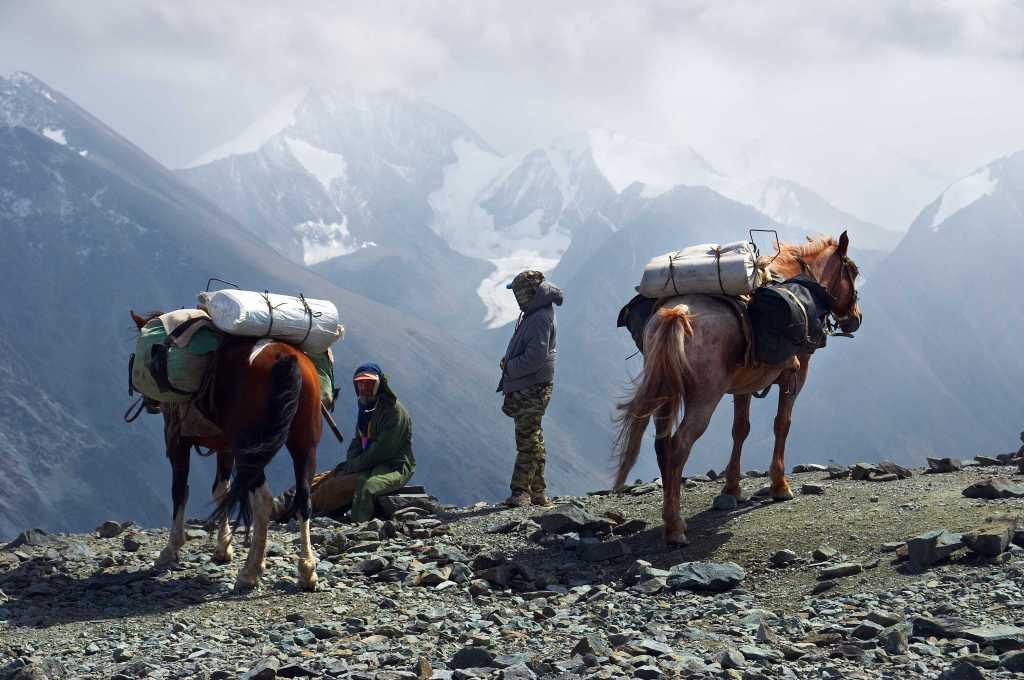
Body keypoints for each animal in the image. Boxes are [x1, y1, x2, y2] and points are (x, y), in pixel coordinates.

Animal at [130, 311, 323, 591]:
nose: (150, 403)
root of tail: (286, 358)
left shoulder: (177, 441)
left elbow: (180, 490)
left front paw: (171, 550)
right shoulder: (225, 447)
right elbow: (221, 490)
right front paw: (223, 549)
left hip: (251, 450)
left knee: (263, 500)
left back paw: (251, 572)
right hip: (305, 444)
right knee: (304, 499)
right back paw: (307, 572)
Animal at [613, 232, 862, 546]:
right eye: (853, 271)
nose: (856, 318)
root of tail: (677, 314)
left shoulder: (744, 386)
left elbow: (740, 429)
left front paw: (731, 489)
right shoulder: (795, 376)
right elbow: (782, 424)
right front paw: (780, 485)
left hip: (665, 393)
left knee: (662, 446)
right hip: (703, 399)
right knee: (679, 445)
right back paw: (675, 527)